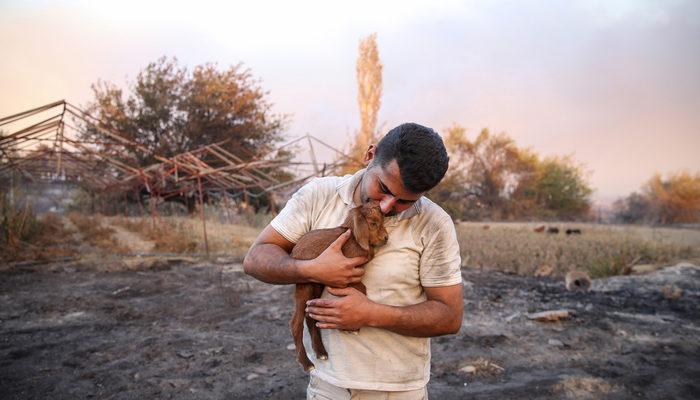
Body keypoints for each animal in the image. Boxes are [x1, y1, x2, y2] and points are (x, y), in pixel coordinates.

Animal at [288, 200, 388, 372]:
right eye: (373, 223)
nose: (386, 238)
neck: (353, 238)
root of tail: (294, 252)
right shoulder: (347, 275)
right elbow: (361, 289)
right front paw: (350, 327)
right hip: (304, 285)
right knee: (296, 323)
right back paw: (307, 363)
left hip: (316, 285)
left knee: (310, 317)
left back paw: (321, 352)